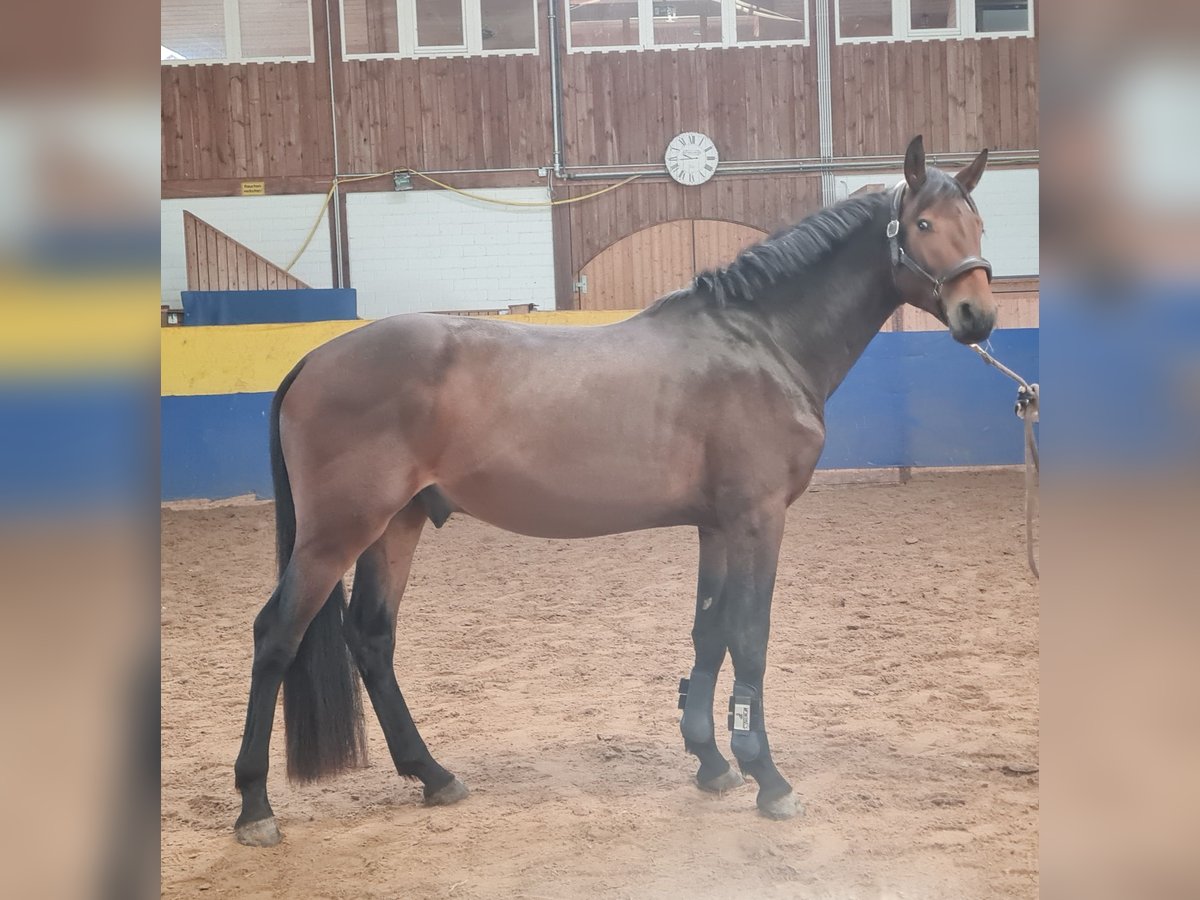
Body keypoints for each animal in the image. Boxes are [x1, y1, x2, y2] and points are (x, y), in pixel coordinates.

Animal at [233, 135, 996, 846]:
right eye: (923, 223)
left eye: (979, 223)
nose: (979, 317)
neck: (761, 342)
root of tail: (313, 357)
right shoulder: (758, 519)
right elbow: (749, 637)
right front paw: (768, 779)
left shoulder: (716, 525)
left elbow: (709, 633)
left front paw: (711, 764)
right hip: (338, 532)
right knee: (276, 636)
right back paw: (255, 807)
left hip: (397, 524)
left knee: (371, 639)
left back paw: (434, 775)